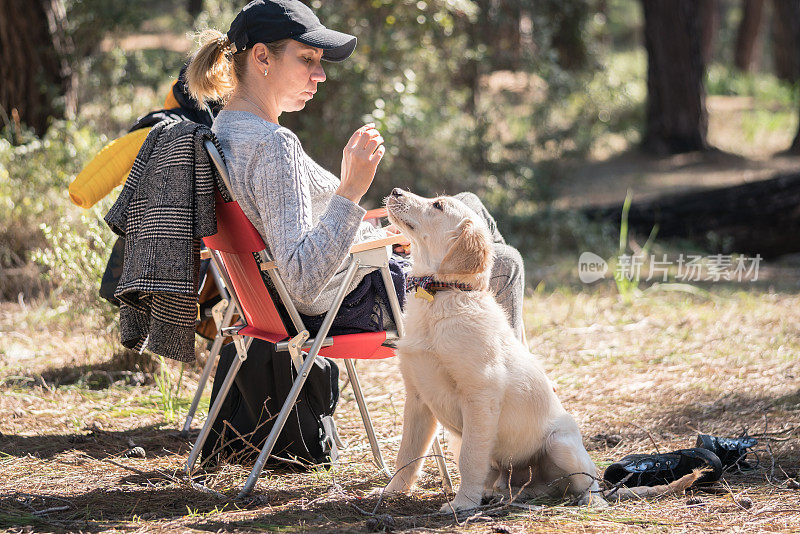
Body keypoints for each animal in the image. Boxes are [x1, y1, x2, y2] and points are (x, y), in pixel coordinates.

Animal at [384, 188, 604, 510]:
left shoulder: (480, 394)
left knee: (588, 479)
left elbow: (470, 459)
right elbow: (408, 454)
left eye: (437, 205)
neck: (442, 296)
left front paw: (462, 504)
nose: (395, 191)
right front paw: (391, 492)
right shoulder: (417, 397)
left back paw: (591, 501)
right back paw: (498, 493)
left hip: (561, 444)